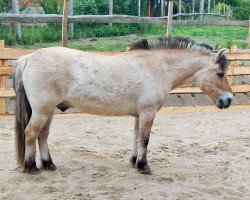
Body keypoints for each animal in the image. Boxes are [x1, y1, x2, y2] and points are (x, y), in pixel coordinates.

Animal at [13, 36, 232, 174]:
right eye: (220, 73)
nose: (229, 100)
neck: (158, 66)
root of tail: (29, 58)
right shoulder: (148, 113)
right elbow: (144, 139)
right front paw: (144, 166)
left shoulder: (139, 115)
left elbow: (136, 138)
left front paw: (134, 162)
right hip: (42, 110)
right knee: (31, 133)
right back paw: (31, 168)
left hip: (48, 111)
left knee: (43, 135)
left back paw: (49, 165)